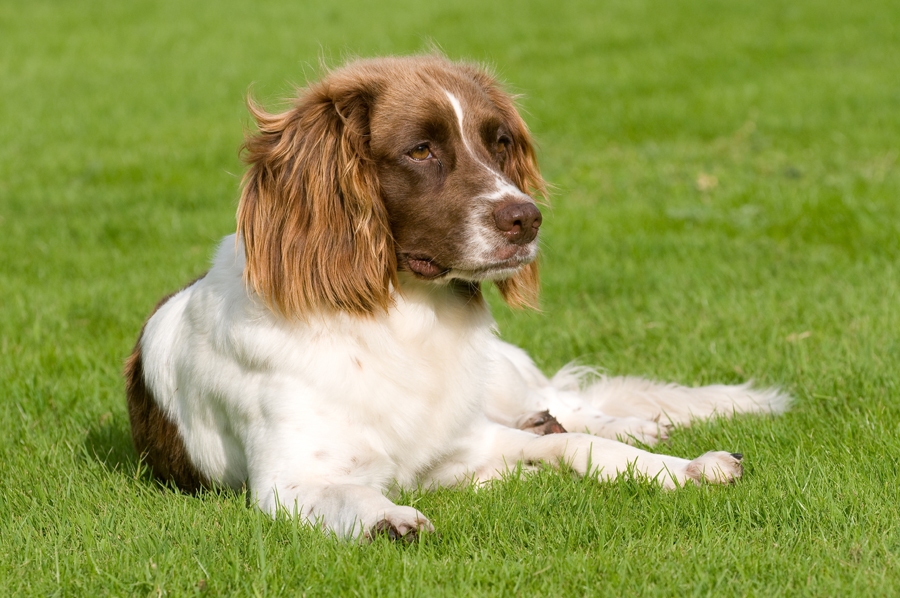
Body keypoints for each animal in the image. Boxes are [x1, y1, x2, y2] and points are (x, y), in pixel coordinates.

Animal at [125, 56, 788, 544]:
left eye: (499, 143)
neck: (401, 318)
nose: (527, 219)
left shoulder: (469, 444)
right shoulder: (289, 481)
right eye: (420, 150)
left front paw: (686, 467)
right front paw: (388, 518)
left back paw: (639, 424)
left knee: (567, 404)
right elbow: (350, 494)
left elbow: (581, 444)